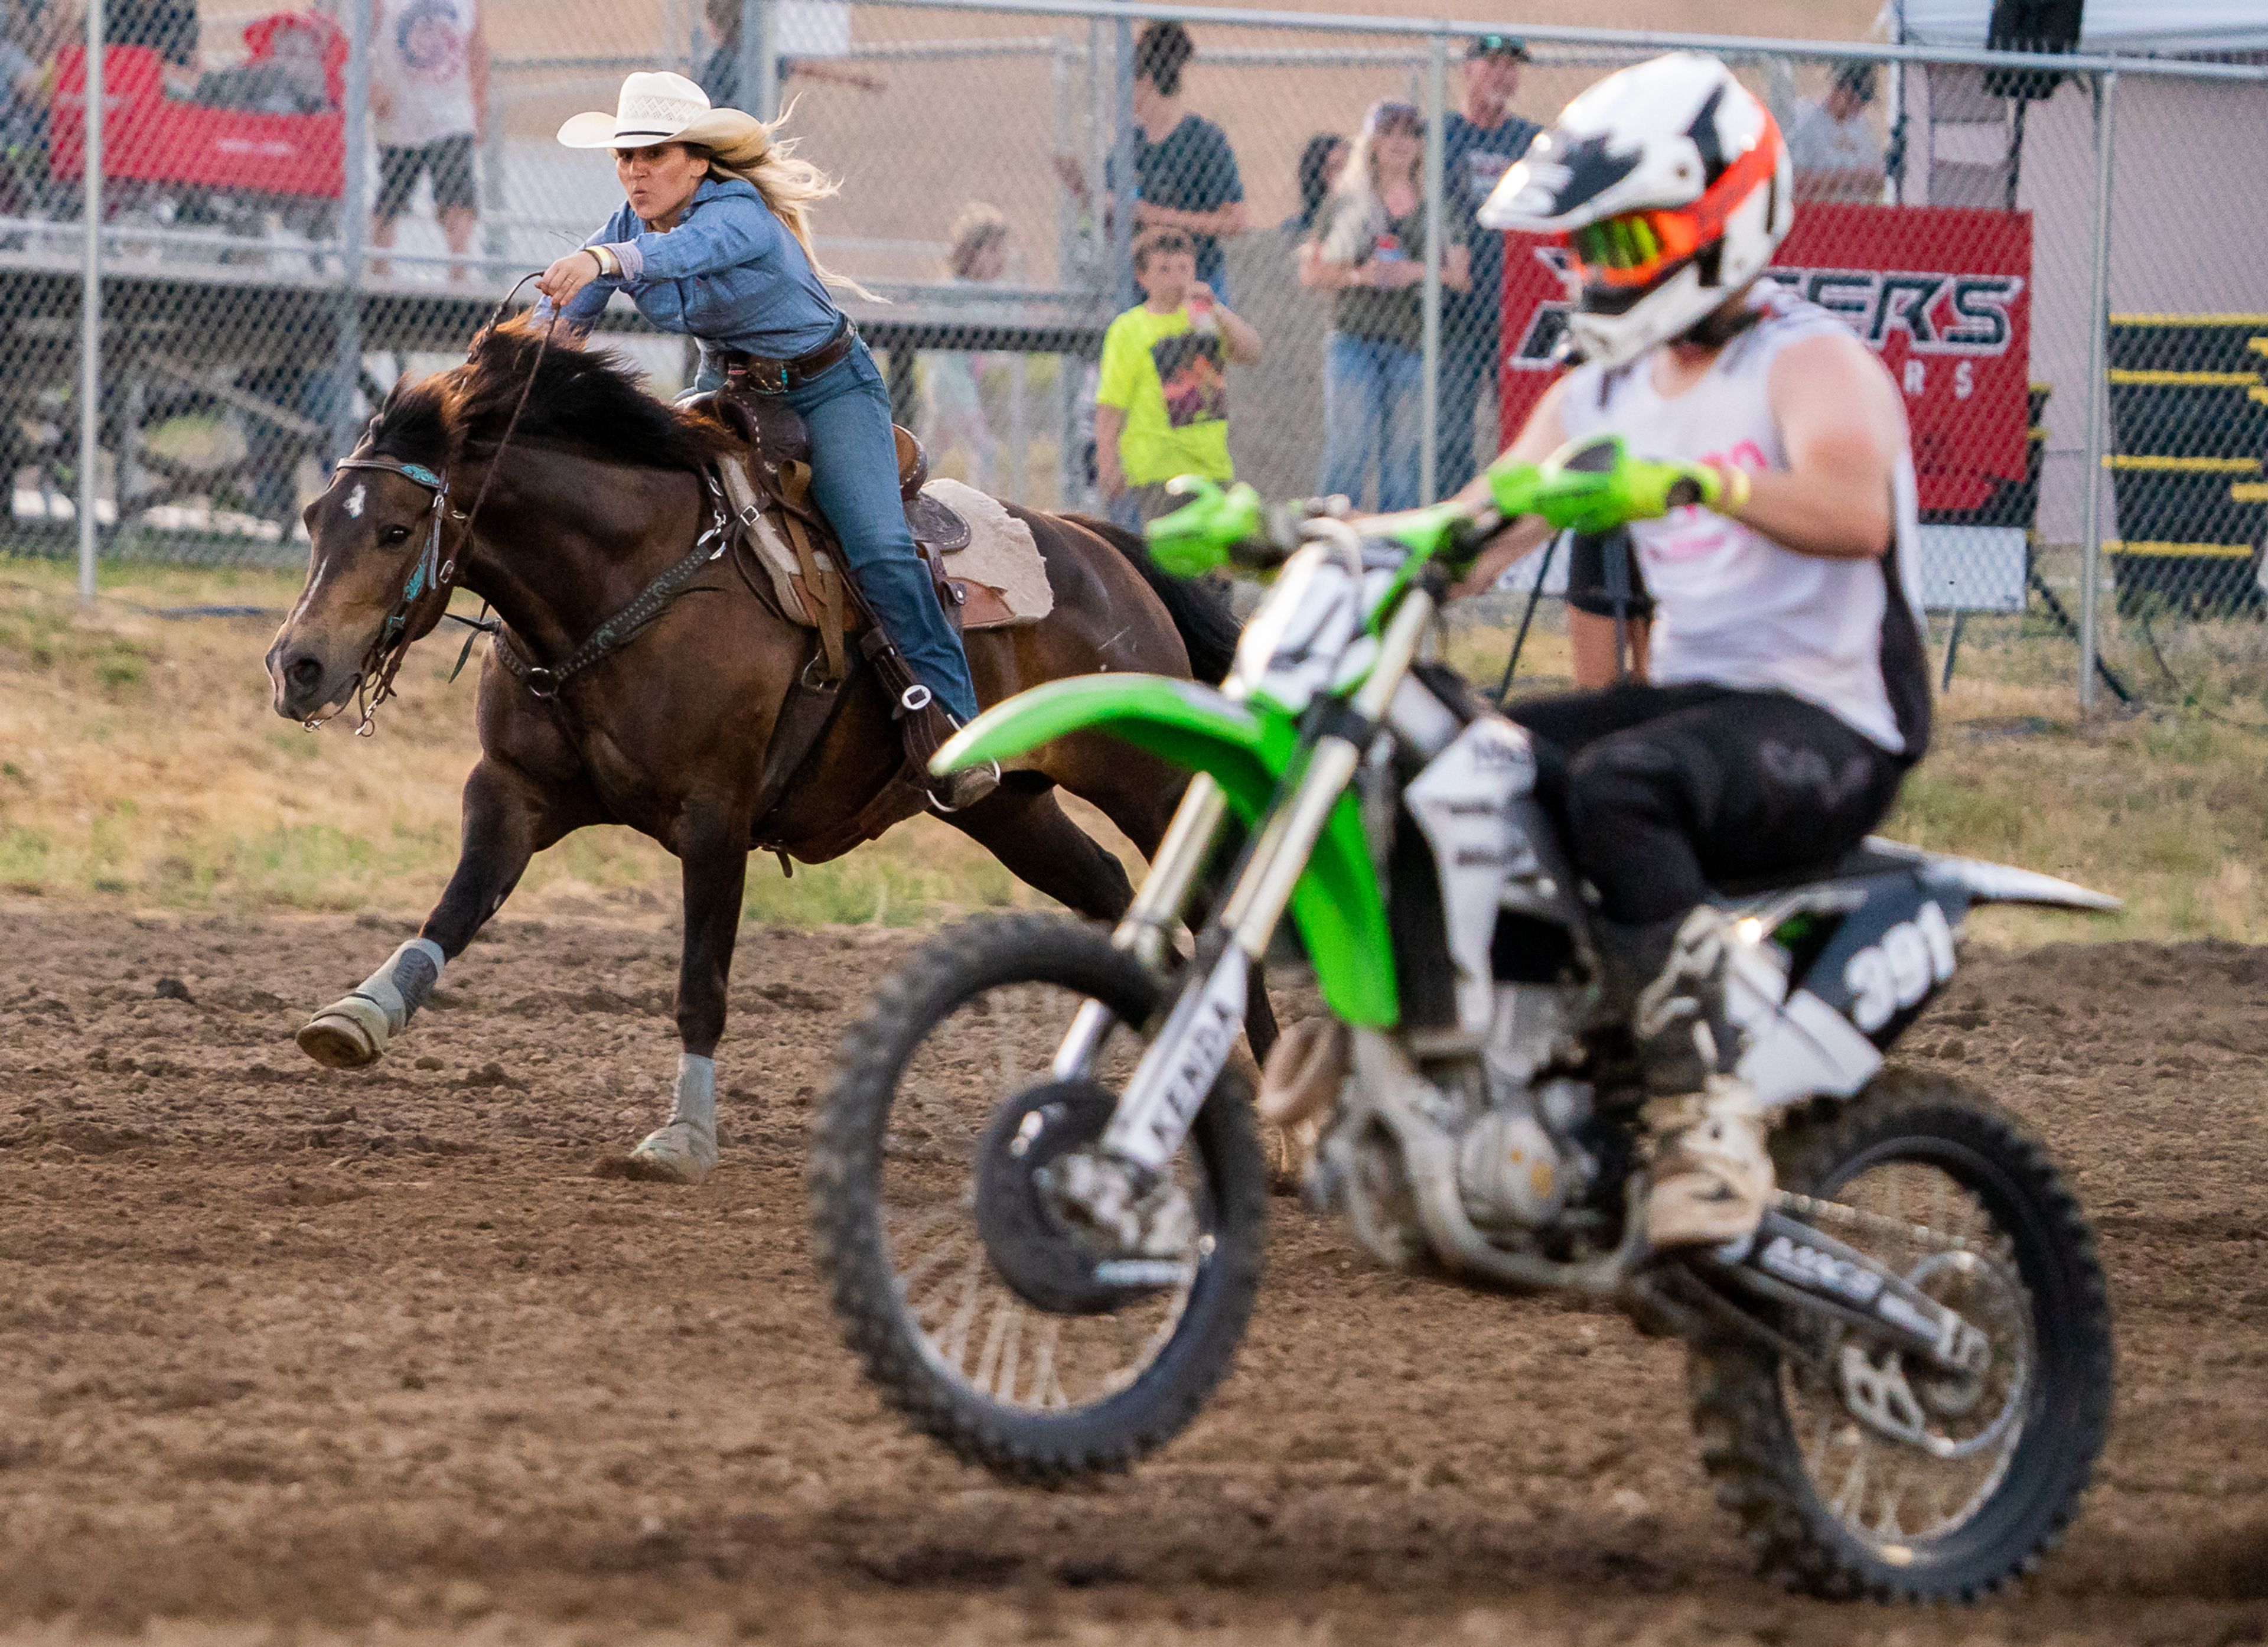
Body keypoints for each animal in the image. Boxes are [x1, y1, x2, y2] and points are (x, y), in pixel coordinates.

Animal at [274, 322, 1252, 1179]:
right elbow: (455, 909)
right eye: (316, 517)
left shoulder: (717, 817)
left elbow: (701, 981)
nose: (297, 664)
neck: (625, 584)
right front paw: (358, 1014)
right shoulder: (512, 792)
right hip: (1014, 811)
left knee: (1213, 910)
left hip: (1154, 787)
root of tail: (1099, 548)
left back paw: (1273, 1142)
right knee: (1114, 892)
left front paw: (683, 1137)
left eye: (397, 529)